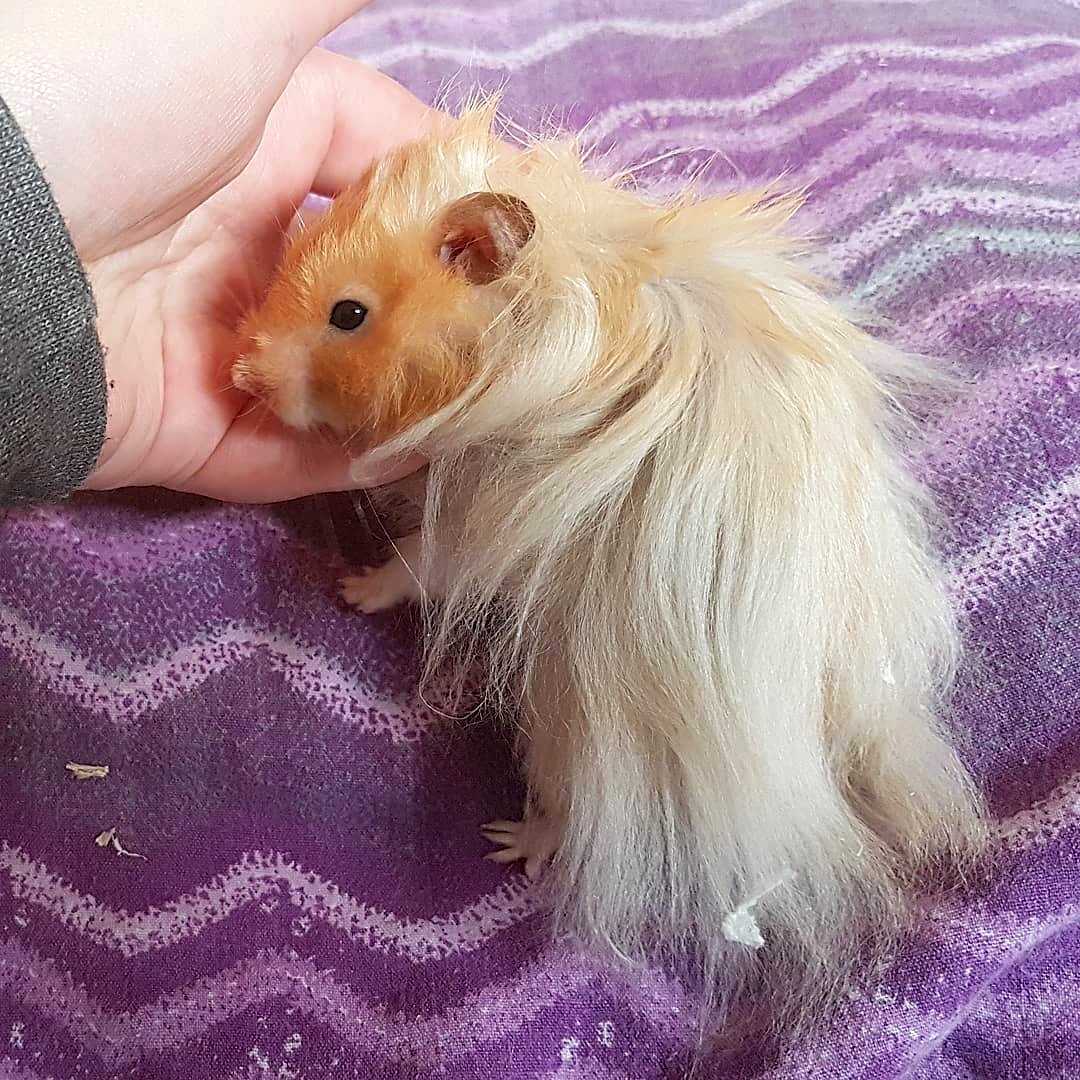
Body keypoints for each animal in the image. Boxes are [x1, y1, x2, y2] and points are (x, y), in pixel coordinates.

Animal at [234, 99, 987, 1024]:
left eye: (348, 315)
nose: (240, 371)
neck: (517, 333)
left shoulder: (478, 514)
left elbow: (413, 566)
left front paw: (349, 587)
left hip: (577, 730)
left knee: (573, 820)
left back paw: (510, 845)